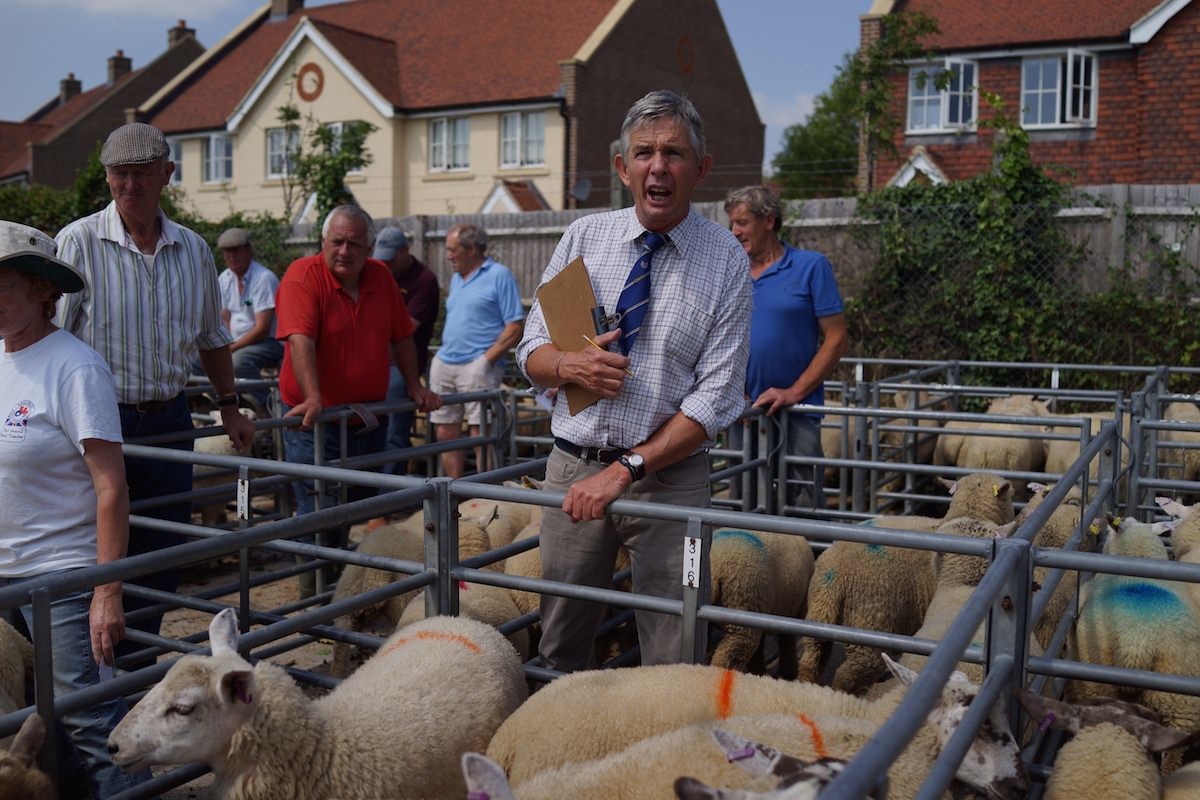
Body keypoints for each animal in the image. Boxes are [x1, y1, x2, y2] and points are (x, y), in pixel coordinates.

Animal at [796, 472, 1012, 690]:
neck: (969, 514)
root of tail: (835, 574)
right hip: (868, 626)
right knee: (850, 672)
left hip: (818, 615)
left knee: (812, 656)